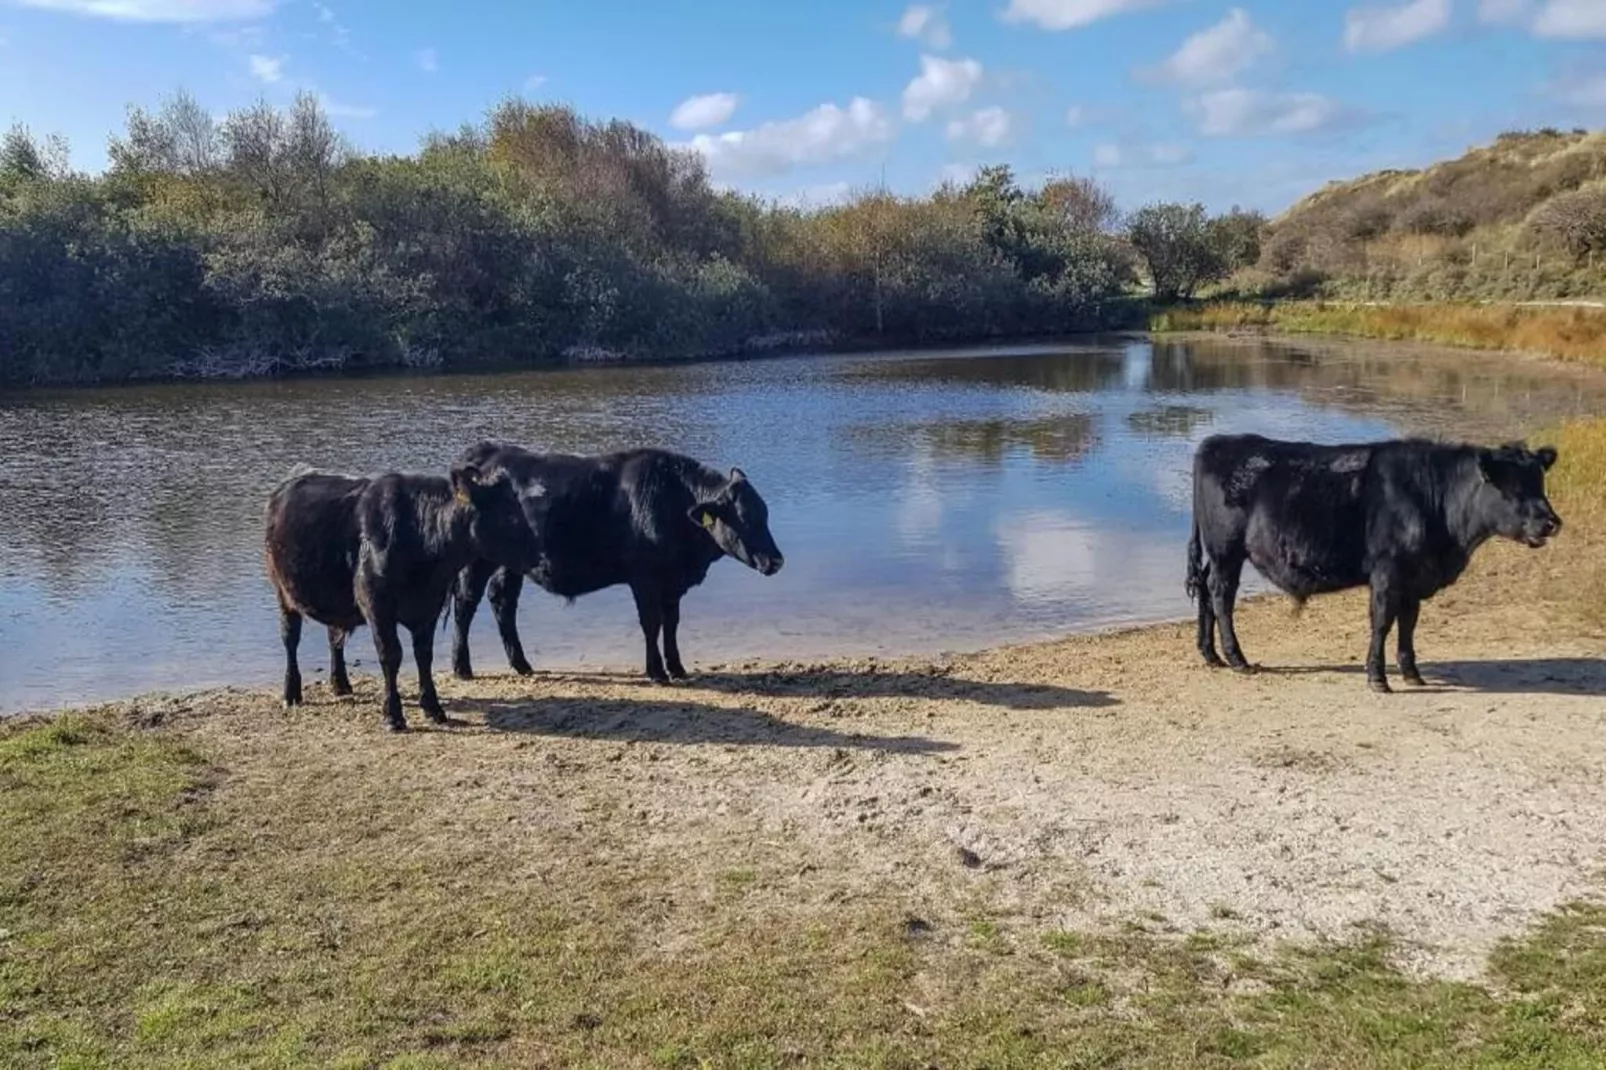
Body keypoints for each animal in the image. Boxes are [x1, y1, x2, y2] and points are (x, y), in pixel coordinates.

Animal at [263, 462, 539, 729]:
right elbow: (391, 655)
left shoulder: (430, 606)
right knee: (290, 638)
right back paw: (291, 692)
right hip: (283, 593)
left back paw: (340, 684)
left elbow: (424, 656)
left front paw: (433, 708)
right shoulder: (377, 605)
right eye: (507, 513)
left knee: (334, 637)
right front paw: (393, 715)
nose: (537, 550)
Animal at [446, 440, 783, 684]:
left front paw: (677, 667)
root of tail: (485, 450)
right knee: (466, 604)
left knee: (503, 601)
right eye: (745, 519)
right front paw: (656, 672)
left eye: (765, 514)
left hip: (510, 562)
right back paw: (462, 668)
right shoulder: (645, 578)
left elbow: (672, 623)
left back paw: (521, 664)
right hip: (477, 560)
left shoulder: (672, 583)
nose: (777, 560)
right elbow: (652, 623)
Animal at [1188, 433, 1561, 690]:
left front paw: (1412, 673)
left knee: (1205, 590)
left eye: (1540, 482)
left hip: (1219, 554)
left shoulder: (1414, 578)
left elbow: (1408, 624)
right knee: (1221, 596)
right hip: (1226, 551)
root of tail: (1217, 442)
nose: (1551, 522)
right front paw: (1378, 677)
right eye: (1510, 487)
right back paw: (1237, 659)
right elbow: (1382, 622)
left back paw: (1211, 655)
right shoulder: (1387, 572)